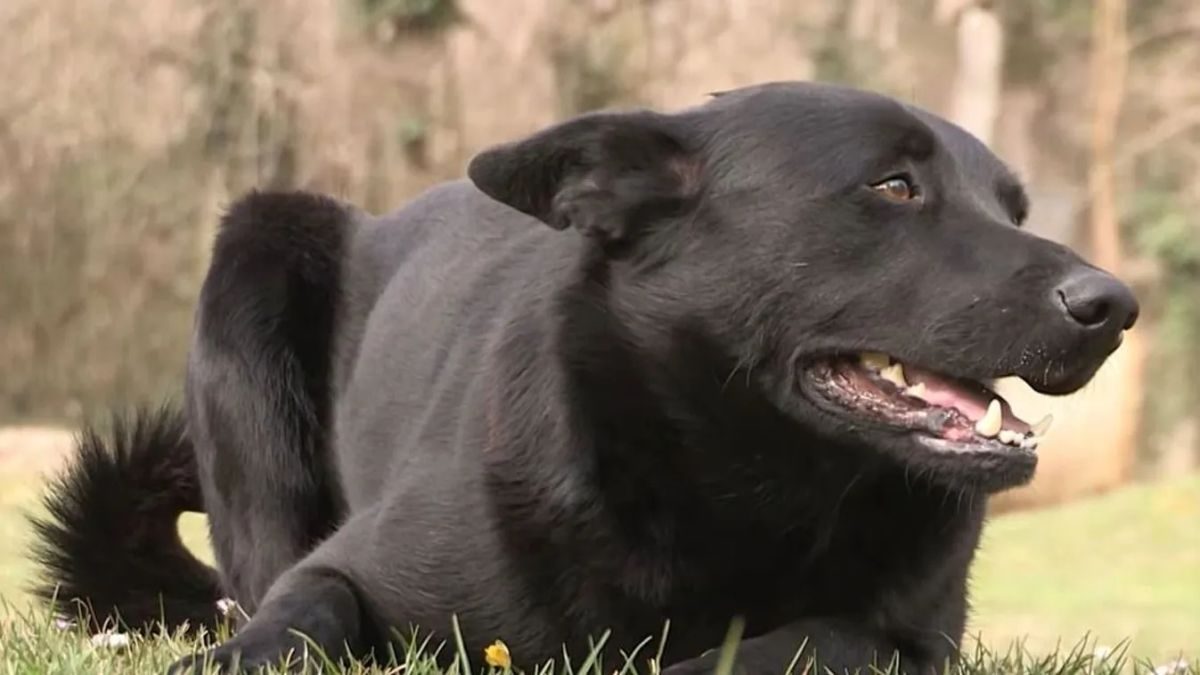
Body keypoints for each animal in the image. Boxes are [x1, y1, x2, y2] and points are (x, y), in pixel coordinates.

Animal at [28, 81, 1132, 667]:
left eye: (1011, 209)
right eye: (893, 186)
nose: (1113, 309)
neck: (728, 480)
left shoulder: (907, 642)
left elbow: (788, 642)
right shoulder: (341, 572)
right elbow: (299, 617)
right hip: (259, 246)